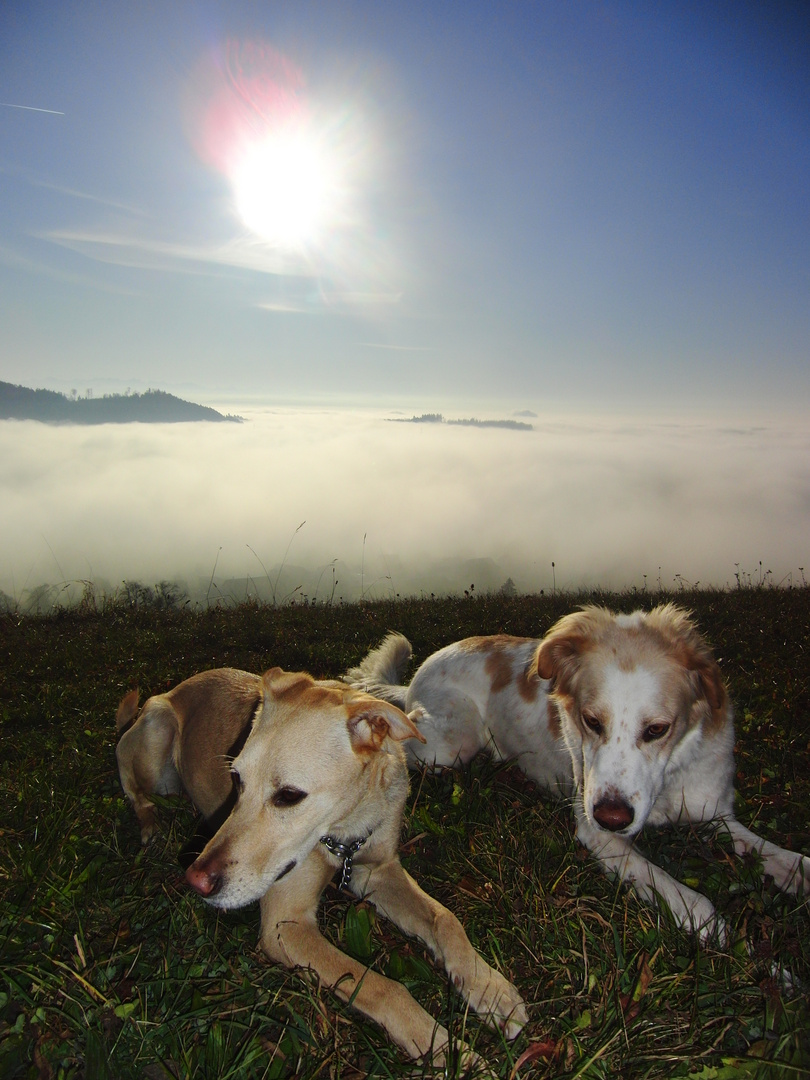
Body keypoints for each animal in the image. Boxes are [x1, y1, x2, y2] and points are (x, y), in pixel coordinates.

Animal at [117, 665, 529, 1062]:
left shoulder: (376, 872)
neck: (344, 829)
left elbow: (446, 920)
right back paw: (151, 824)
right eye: (236, 779)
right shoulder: (286, 925)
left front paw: (489, 988)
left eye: (288, 795)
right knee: (134, 790)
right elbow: (384, 988)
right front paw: (445, 1047)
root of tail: (179, 687)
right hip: (156, 730)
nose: (196, 881)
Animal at [349, 604, 810, 941]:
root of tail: (419, 674)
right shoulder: (598, 833)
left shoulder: (715, 815)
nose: (612, 817)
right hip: (449, 745)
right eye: (591, 721)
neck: (666, 784)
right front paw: (712, 926)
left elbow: (777, 855)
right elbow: (681, 892)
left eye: (657, 729)